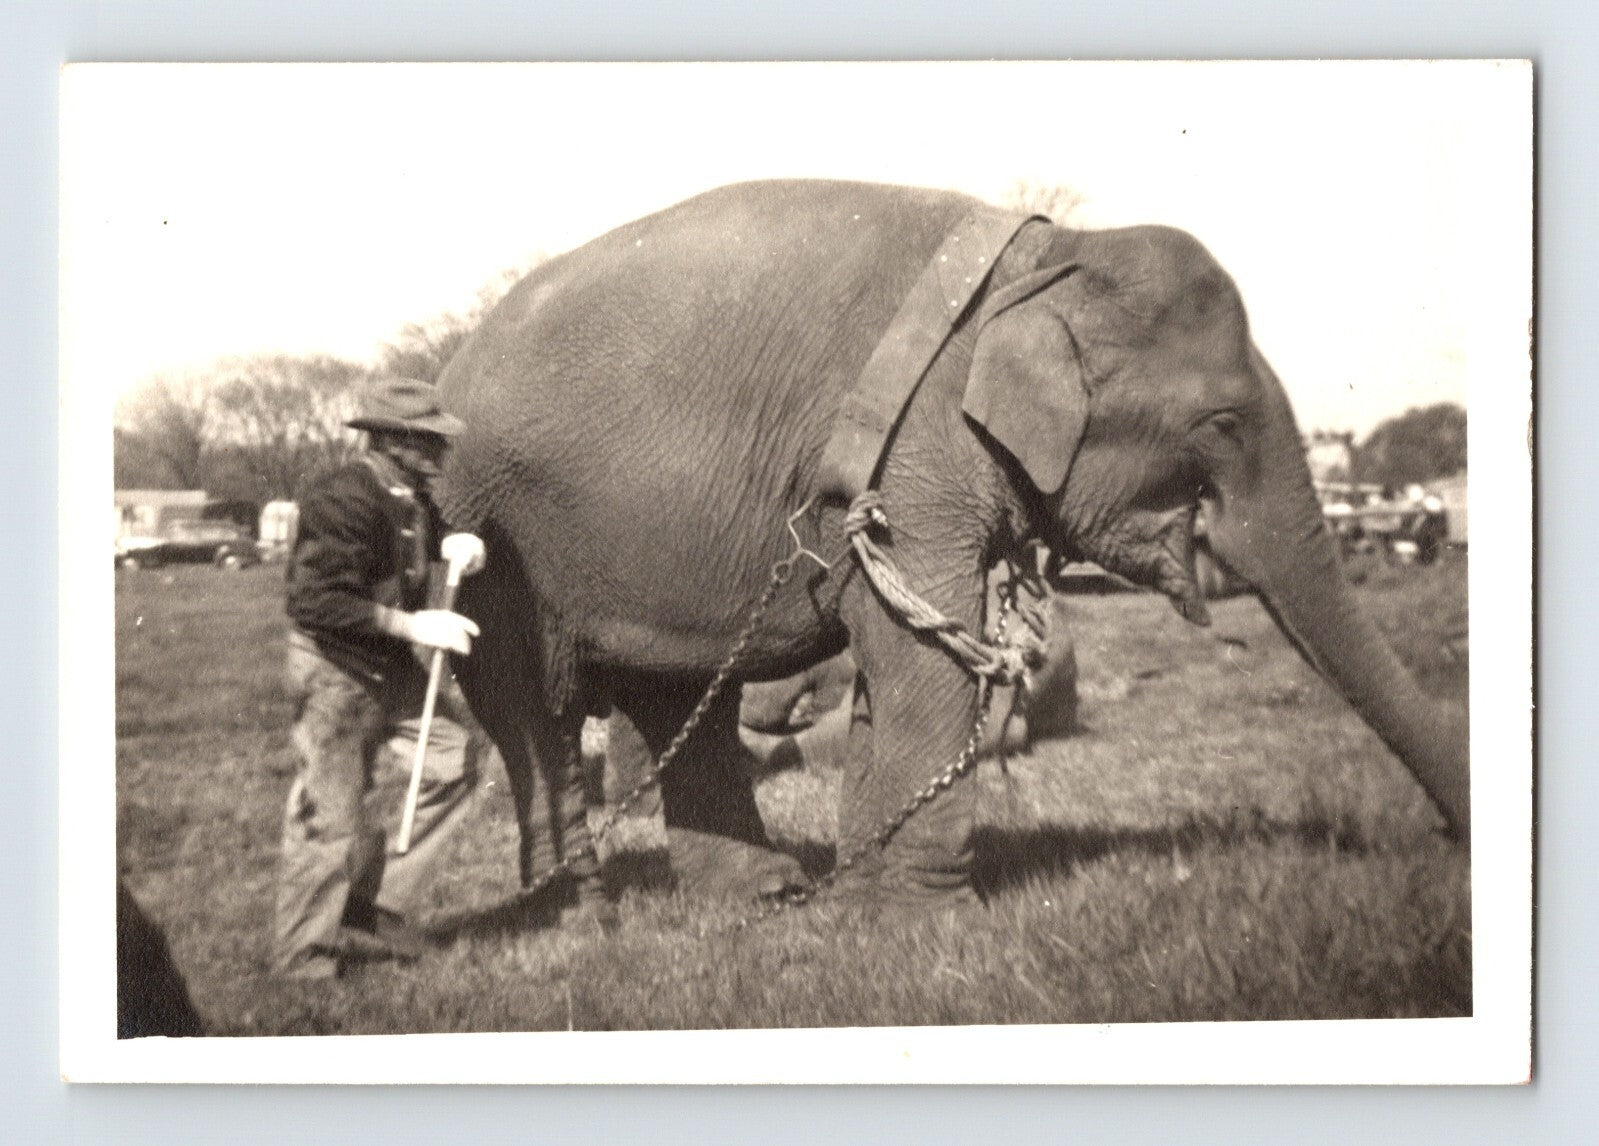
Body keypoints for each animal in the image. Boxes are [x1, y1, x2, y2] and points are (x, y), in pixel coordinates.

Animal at [436, 178, 1468, 910]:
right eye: (1220, 422)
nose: (1445, 845)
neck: (1051, 260)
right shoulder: (915, 452)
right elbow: (923, 652)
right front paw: (931, 921)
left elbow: (896, 654)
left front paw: (863, 904)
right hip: (482, 528)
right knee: (532, 718)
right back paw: (579, 908)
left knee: (675, 698)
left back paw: (764, 895)